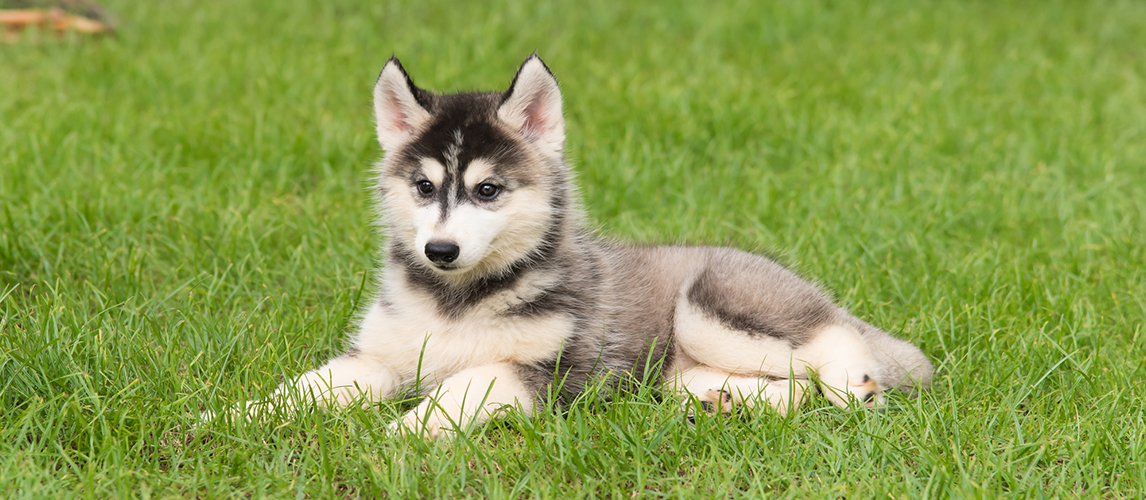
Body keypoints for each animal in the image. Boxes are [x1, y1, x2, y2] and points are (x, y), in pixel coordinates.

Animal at [206, 53, 935, 438]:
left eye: (488, 190)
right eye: (423, 186)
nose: (439, 250)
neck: (457, 302)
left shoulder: (543, 370)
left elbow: (459, 387)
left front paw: (395, 435)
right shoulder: (378, 357)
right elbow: (304, 389)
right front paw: (231, 415)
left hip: (714, 304)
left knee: (828, 338)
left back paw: (856, 386)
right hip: (672, 371)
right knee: (787, 386)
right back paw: (725, 402)